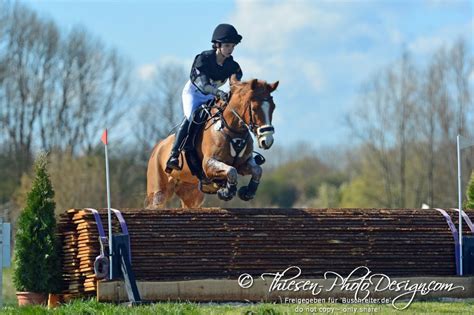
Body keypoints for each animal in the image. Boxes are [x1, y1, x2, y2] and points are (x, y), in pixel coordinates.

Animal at [144, 75, 278, 210]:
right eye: (254, 108)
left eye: (273, 107)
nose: (267, 141)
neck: (232, 130)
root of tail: (157, 147)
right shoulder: (208, 164)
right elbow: (231, 171)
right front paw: (226, 192)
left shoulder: (243, 164)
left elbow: (257, 170)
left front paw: (248, 192)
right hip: (158, 192)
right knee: (156, 201)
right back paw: (172, 160)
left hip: (191, 194)